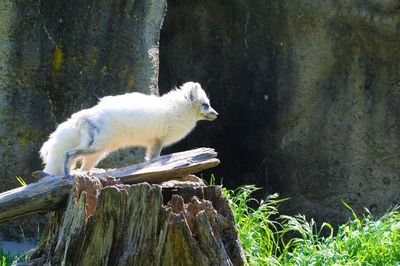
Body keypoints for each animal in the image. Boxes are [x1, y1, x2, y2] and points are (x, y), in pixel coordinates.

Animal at [39, 81, 219, 177]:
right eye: (206, 105)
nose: (217, 115)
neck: (177, 109)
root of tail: (83, 116)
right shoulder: (157, 141)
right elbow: (153, 159)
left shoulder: (152, 142)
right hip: (96, 148)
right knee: (69, 154)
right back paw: (68, 176)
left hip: (97, 153)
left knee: (83, 167)